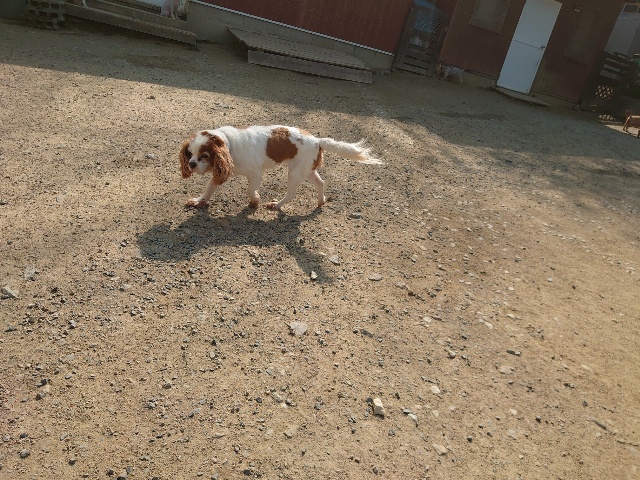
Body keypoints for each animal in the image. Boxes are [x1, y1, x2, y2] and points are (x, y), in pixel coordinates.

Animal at [179, 126, 382, 210]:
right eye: (190, 154)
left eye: (205, 156)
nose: (192, 164)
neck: (229, 145)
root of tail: (317, 140)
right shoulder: (220, 171)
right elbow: (209, 188)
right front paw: (199, 201)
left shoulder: (255, 174)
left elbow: (249, 190)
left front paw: (255, 201)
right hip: (307, 170)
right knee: (321, 183)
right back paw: (320, 201)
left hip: (294, 173)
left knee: (291, 193)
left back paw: (277, 205)